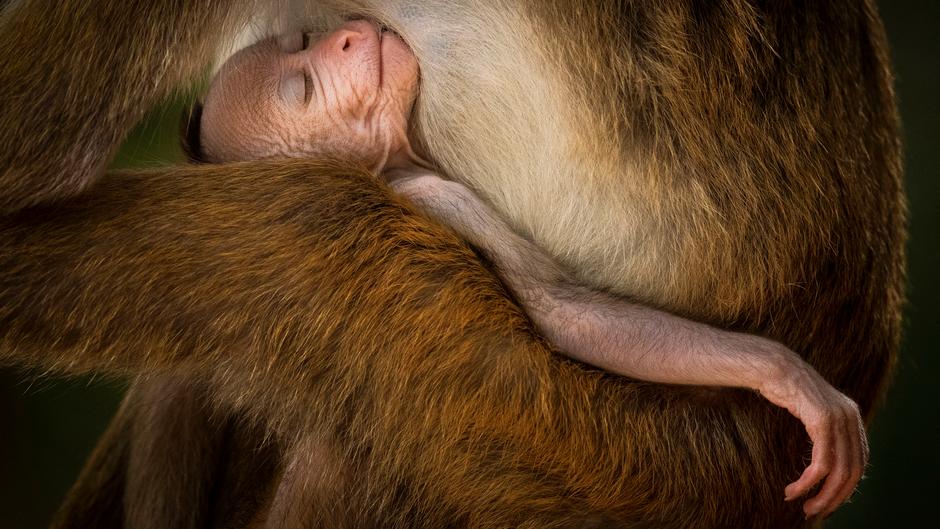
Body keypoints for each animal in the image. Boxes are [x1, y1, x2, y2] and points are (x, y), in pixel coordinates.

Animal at [0, 1, 904, 528]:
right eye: (302, 87)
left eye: (302, 43)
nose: (349, 32)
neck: (401, 159)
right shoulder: (437, 195)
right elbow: (559, 310)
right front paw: (783, 374)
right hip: (620, 464)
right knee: (320, 238)